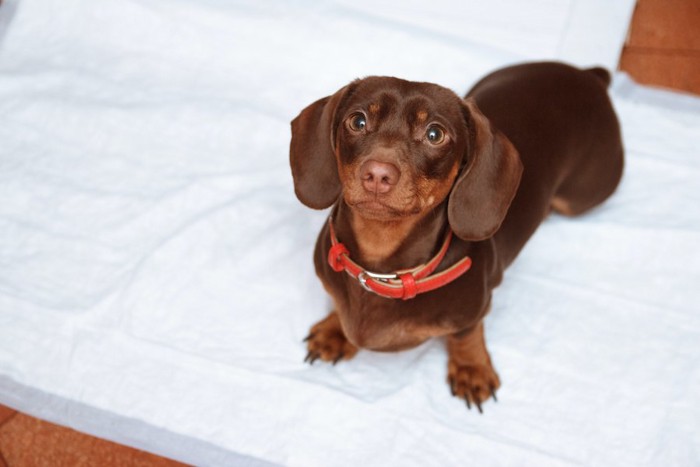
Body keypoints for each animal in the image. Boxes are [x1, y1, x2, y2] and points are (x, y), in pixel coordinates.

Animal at [290, 62, 624, 414]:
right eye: (358, 121)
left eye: (435, 134)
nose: (377, 175)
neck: (382, 268)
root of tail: (587, 75)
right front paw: (335, 330)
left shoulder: (475, 310)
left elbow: (466, 334)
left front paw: (472, 369)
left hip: (583, 196)